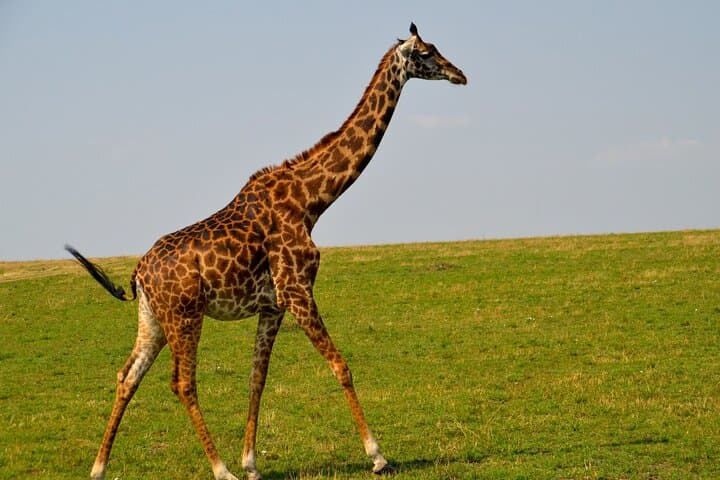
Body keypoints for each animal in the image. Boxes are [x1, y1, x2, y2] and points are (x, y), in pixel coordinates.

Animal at [66, 23, 466, 480]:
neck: (312, 200)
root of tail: (137, 274)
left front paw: (252, 463)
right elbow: (341, 366)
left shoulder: (272, 304)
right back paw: (220, 468)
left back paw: (99, 467)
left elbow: (257, 378)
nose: (460, 75)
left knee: (127, 375)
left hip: (153, 319)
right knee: (182, 383)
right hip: (185, 315)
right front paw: (378, 455)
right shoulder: (297, 290)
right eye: (427, 53)